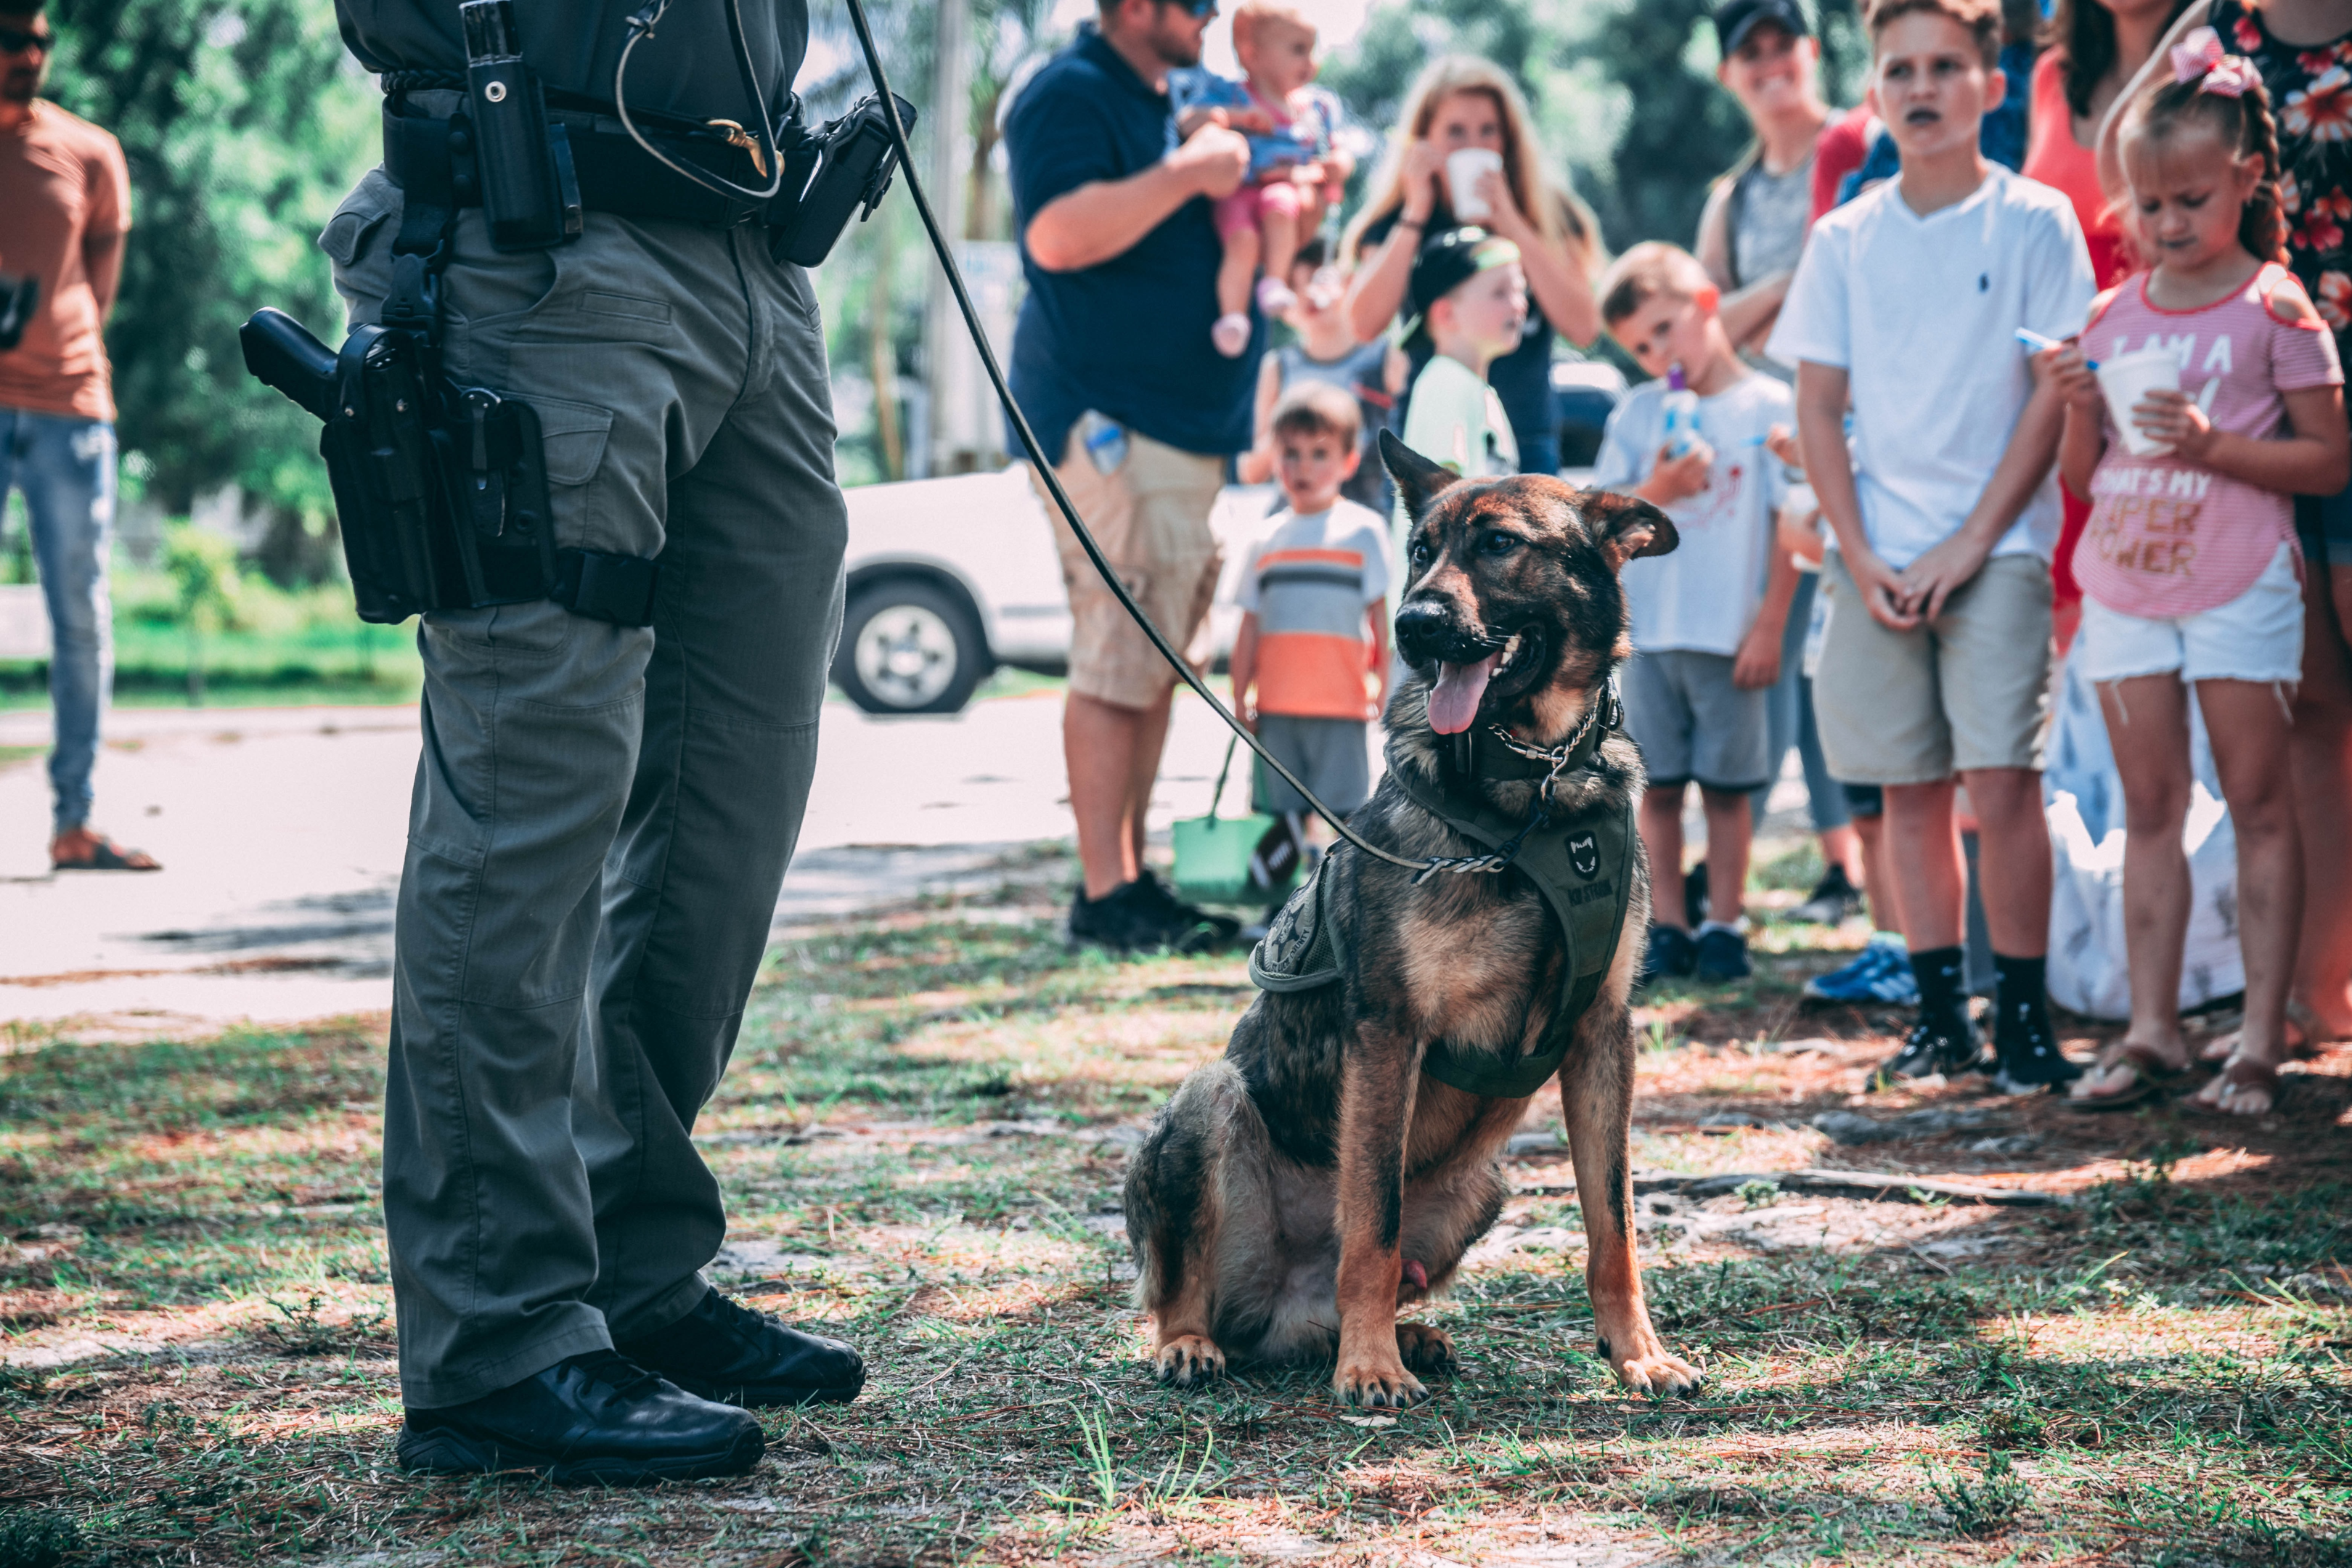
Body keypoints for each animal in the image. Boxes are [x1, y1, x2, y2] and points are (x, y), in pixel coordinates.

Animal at [1124, 432, 1702, 1410]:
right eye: (1421, 549)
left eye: (1500, 545)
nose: (1412, 624)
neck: (1534, 788)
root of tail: (1286, 1311)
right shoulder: (1390, 1034)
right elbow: (1373, 1221)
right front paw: (1369, 1369)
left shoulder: (1601, 1038)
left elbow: (1614, 1225)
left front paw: (1639, 1355)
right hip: (1210, 1101)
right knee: (1186, 1290)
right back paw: (1207, 1343)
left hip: (1485, 1182)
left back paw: (1406, 1333)